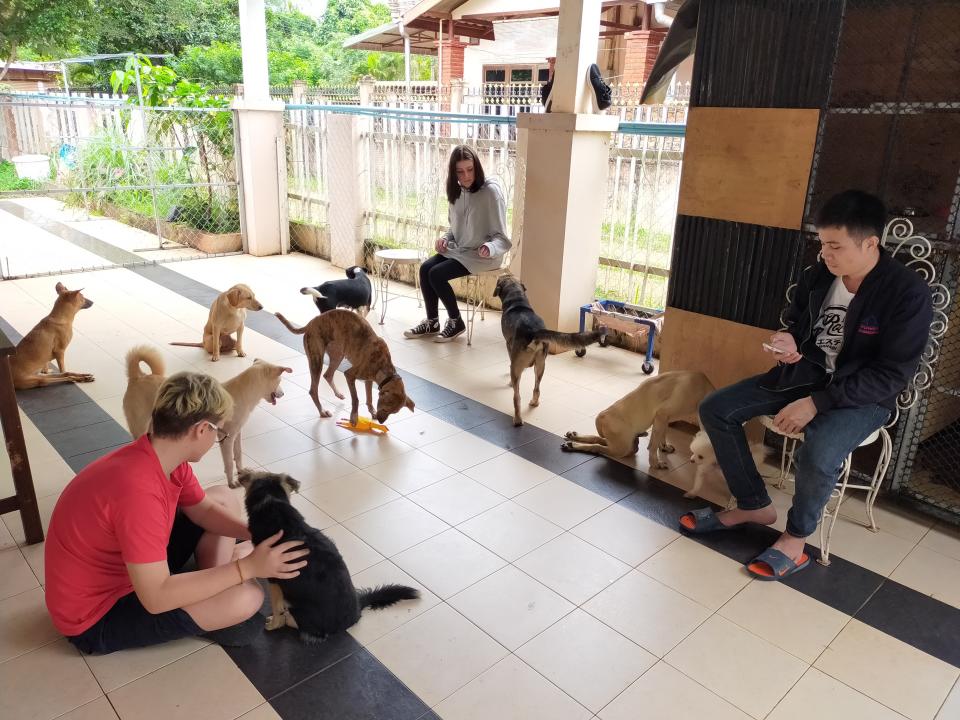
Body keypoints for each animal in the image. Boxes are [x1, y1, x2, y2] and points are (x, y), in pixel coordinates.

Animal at [238, 470, 418, 644]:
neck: (271, 503)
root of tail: (357, 611)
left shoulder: (274, 579)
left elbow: (277, 609)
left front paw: (275, 623)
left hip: (302, 613)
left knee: (298, 624)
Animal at [274, 308, 416, 422]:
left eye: (393, 413)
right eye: (386, 409)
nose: (381, 422)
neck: (383, 365)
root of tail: (311, 323)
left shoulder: (368, 380)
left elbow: (369, 398)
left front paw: (372, 412)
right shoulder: (350, 375)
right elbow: (356, 399)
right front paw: (354, 417)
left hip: (338, 355)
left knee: (328, 375)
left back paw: (337, 394)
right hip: (316, 360)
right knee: (313, 390)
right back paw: (322, 411)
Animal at [564, 368, 712, 470]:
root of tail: (601, 417)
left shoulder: (664, 420)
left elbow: (662, 435)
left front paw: (664, 447)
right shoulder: (662, 415)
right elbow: (653, 445)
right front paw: (655, 463)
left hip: (627, 444)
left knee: (599, 439)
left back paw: (574, 436)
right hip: (622, 448)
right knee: (598, 447)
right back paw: (573, 445)